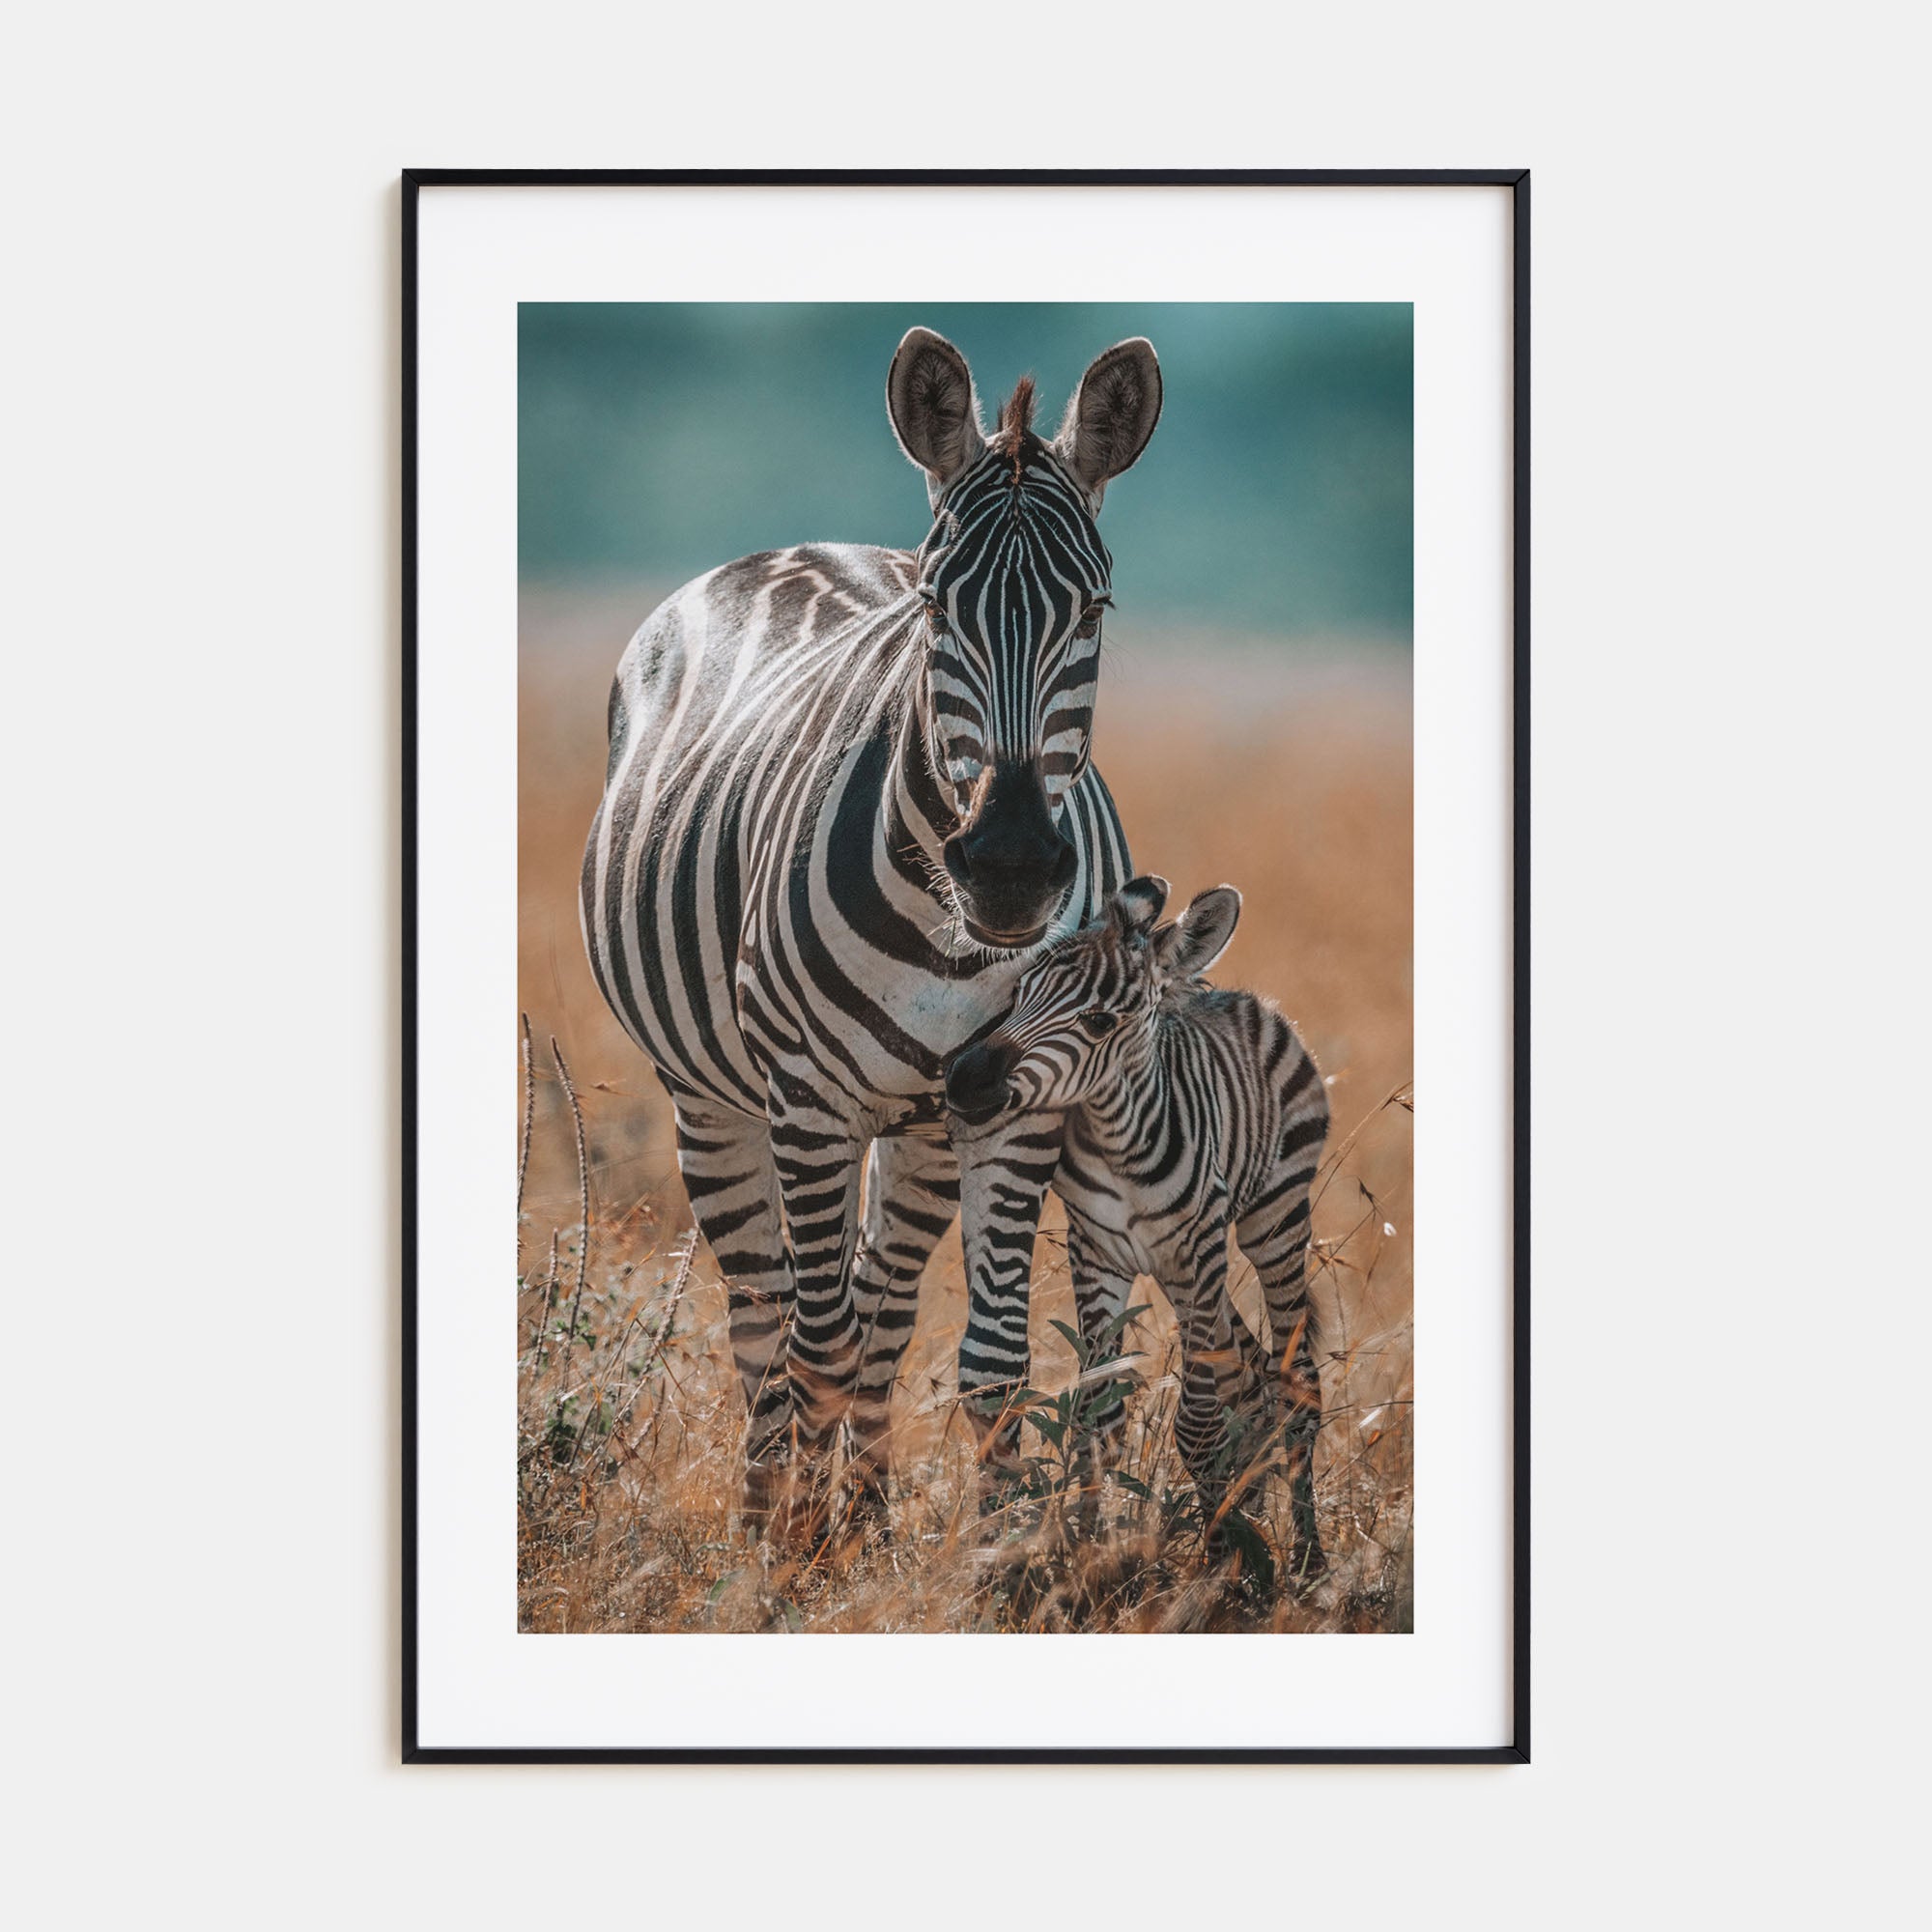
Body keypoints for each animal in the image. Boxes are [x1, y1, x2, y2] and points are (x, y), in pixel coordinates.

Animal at [580, 326, 1164, 1532]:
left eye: (1092, 612)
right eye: (938, 609)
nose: (1010, 866)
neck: (956, 940)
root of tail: (802, 545)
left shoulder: (1016, 1102)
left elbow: (989, 1360)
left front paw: (1000, 1551)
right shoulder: (805, 1097)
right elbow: (814, 1347)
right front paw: (801, 1552)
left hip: (923, 1123)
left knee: (880, 1308)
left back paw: (864, 1513)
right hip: (713, 1097)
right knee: (770, 1322)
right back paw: (770, 1518)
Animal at [945, 876, 1331, 1576]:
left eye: (1099, 1021)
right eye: (1019, 990)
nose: (962, 1080)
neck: (1120, 1140)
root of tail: (1240, 996)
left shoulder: (1201, 1251)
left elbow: (1198, 1425)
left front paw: (1215, 1566)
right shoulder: (1096, 1254)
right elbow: (1096, 1417)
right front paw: (1090, 1551)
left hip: (1274, 1220)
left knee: (1297, 1383)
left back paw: (1307, 1559)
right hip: (1184, 1269)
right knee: (1253, 1373)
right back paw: (1252, 1514)